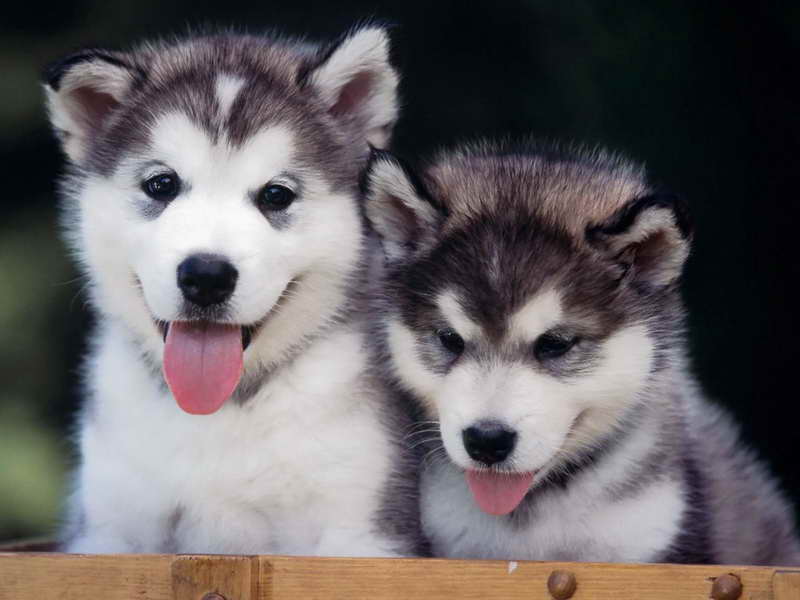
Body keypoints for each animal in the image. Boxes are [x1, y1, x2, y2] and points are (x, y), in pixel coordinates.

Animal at [43, 25, 424, 556]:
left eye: (276, 195)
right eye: (161, 184)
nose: (206, 276)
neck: (219, 412)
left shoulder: (363, 530)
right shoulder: (108, 531)